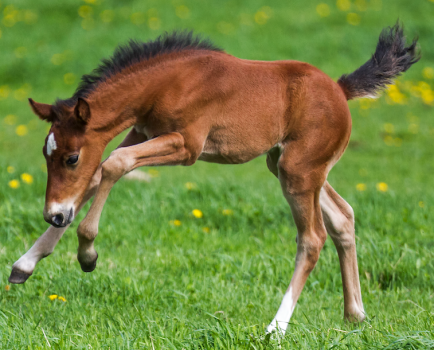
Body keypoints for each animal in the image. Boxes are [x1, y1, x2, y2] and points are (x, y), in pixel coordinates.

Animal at [9, 25, 418, 334]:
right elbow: (97, 176)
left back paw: (276, 328)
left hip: (298, 170)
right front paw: (26, 263)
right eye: (46, 154)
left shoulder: (187, 145)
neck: (165, 83)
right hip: (287, 164)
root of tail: (340, 89)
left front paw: (88, 253)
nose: (53, 214)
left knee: (313, 238)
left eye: (71, 157)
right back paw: (355, 315)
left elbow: (111, 165)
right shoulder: (141, 132)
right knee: (343, 217)